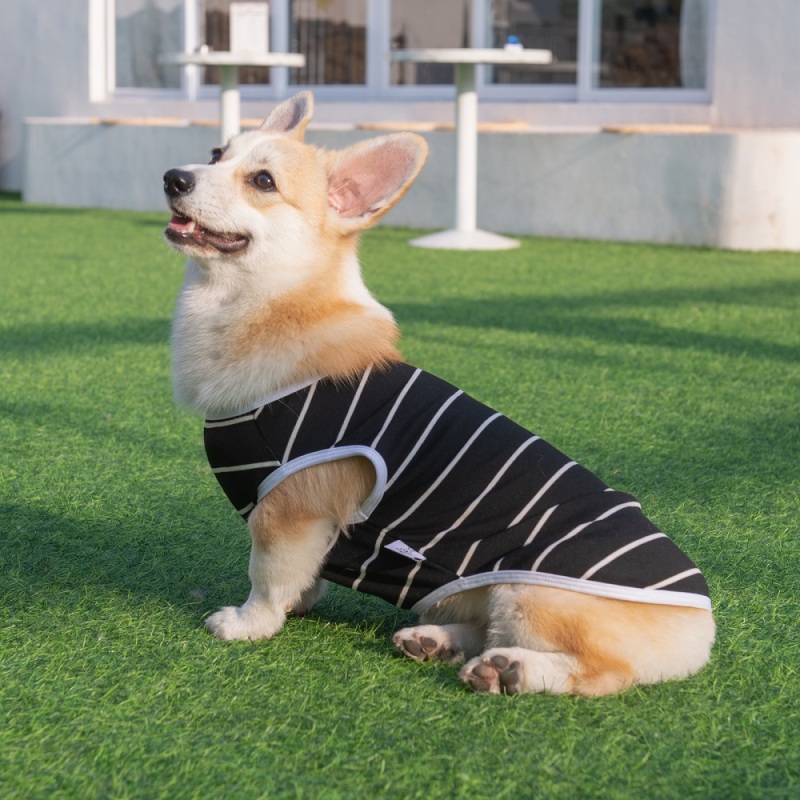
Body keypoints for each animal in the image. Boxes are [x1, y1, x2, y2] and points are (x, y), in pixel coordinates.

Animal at [162, 92, 712, 692]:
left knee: (598, 671)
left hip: (530, 593)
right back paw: (434, 641)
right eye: (216, 154)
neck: (275, 300)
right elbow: (304, 576)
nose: (173, 177)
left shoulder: (290, 510)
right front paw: (296, 607)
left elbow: (267, 575)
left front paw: (248, 623)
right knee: (482, 628)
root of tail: (700, 635)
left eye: (263, 181)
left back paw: (511, 669)